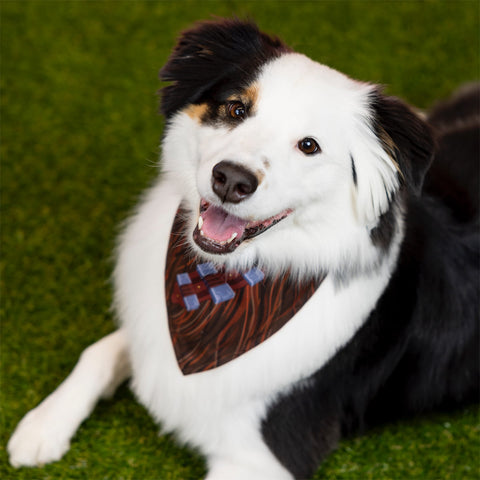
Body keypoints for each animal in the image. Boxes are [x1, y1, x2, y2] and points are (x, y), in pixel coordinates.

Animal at [7, 17, 480, 476]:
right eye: (236, 108)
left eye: (309, 145)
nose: (231, 179)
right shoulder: (151, 325)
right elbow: (101, 349)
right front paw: (43, 425)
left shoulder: (266, 457)